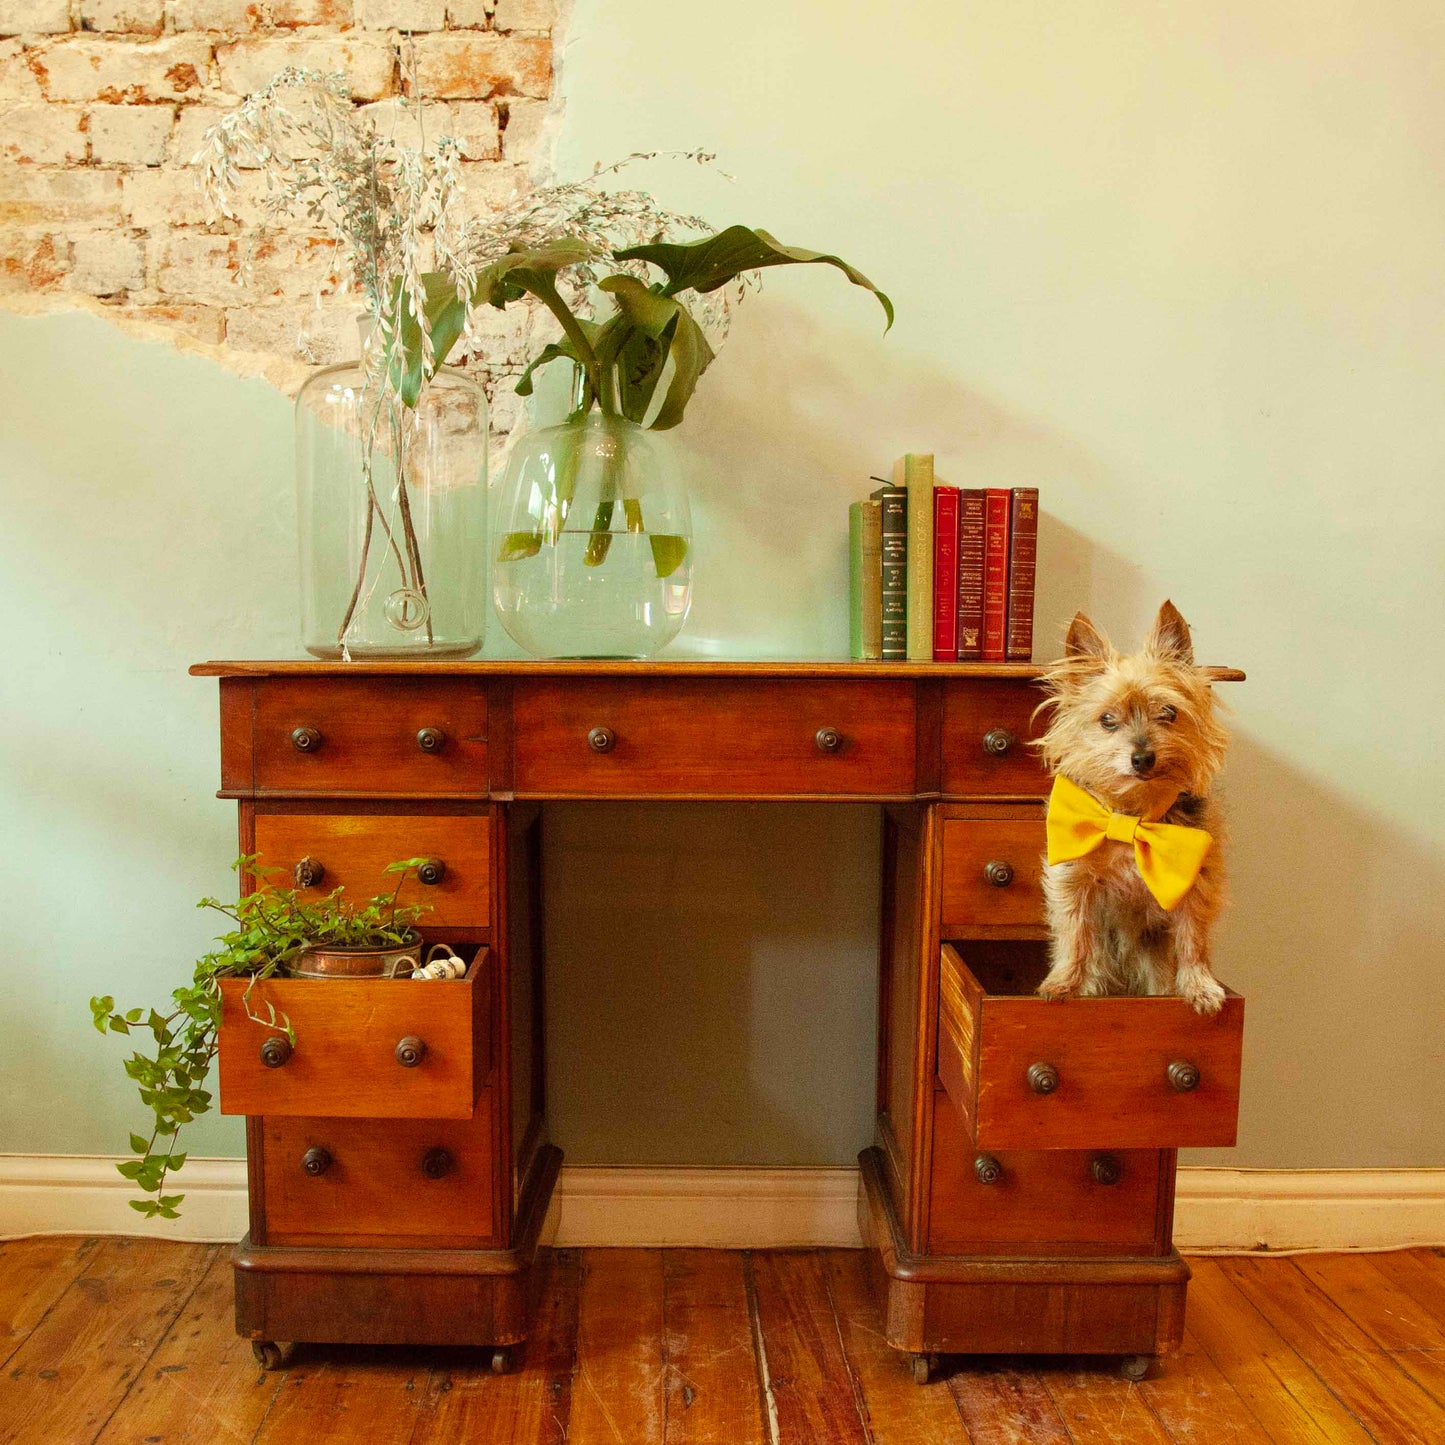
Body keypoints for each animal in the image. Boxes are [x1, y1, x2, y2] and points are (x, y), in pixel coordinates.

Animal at [1040, 601, 1231, 1017]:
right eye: (1107, 720)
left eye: (1169, 713)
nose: (1143, 757)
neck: (1134, 814)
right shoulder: (1072, 877)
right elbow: (1075, 931)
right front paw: (1063, 983)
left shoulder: (1198, 880)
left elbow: (1193, 939)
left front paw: (1200, 986)